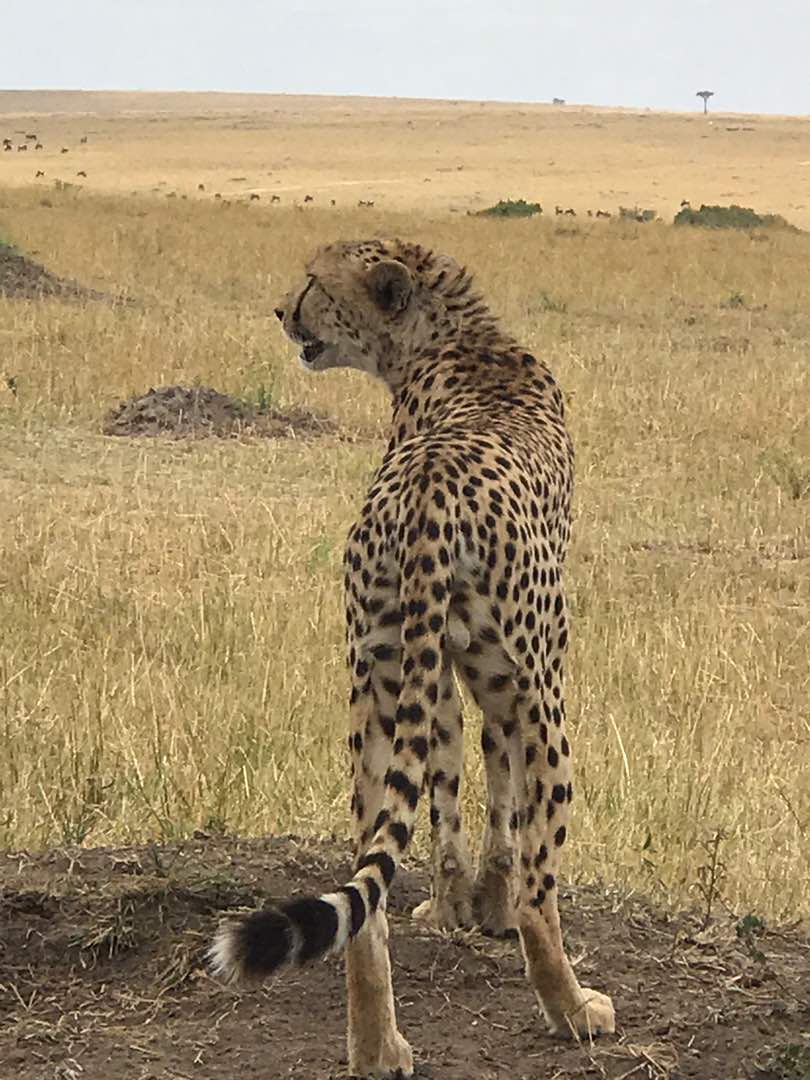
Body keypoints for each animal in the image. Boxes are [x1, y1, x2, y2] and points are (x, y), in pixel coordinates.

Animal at [209, 238, 616, 1078]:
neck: (446, 337)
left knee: (366, 897)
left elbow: (456, 790)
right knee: (543, 891)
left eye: (314, 282)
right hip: (548, 693)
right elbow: (503, 804)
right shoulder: (507, 679)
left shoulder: (446, 677)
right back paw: (574, 1009)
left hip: (375, 683)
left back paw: (377, 1047)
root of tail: (430, 492)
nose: (280, 309)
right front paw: (488, 907)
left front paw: (458, 905)